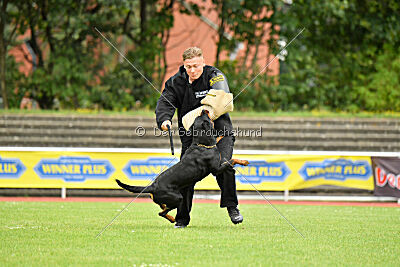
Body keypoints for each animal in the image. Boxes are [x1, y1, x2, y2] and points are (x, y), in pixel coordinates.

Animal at [115, 110, 247, 223]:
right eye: (205, 117)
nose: (203, 110)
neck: (202, 144)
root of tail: (153, 186)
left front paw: (222, 136)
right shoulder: (216, 169)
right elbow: (231, 160)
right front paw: (244, 161)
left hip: (164, 198)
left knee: (161, 207)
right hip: (178, 198)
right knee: (162, 212)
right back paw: (173, 219)